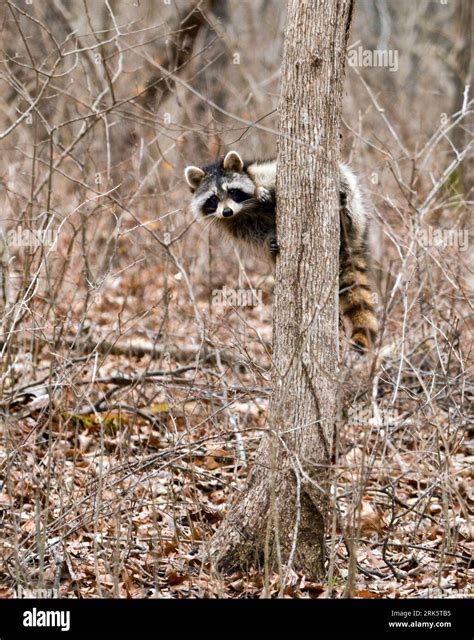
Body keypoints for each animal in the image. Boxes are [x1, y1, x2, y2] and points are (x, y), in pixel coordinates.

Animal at [184, 149, 378, 350]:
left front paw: (261, 191)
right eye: (213, 198)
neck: (244, 209)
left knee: (346, 186)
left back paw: (345, 216)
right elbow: (254, 235)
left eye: (232, 191)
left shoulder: (260, 172)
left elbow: (272, 177)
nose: (227, 211)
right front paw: (268, 240)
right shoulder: (233, 223)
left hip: (354, 201)